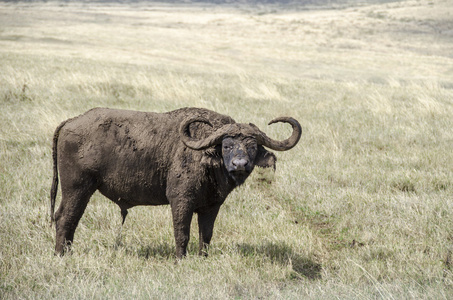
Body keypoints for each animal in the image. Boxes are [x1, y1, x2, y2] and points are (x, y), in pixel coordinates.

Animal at [50, 108, 300, 258]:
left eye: (252, 146)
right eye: (227, 145)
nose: (240, 164)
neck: (206, 159)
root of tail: (71, 122)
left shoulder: (211, 206)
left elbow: (205, 235)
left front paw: (202, 258)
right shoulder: (181, 201)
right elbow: (182, 233)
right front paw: (181, 259)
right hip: (78, 188)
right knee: (66, 218)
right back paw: (62, 254)